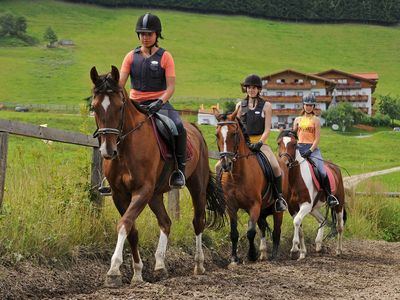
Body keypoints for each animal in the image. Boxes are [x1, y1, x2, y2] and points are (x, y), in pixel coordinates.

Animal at [91, 66, 227, 286]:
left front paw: (113, 271)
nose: (108, 150)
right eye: (94, 108)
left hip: (196, 186)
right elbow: (132, 230)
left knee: (198, 221)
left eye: (119, 107)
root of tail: (195, 128)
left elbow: (124, 224)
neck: (127, 147)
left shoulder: (142, 190)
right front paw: (137, 274)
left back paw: (198, 265)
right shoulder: (120, 194)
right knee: (165, 222)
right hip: (155, 195)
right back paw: (160, 266)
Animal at [214, 110, 282, 264]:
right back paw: (263, 254)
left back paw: (275, 255)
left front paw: (251, 255)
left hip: (276, 210)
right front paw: (234, 257)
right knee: (262, 227)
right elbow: (234, 233)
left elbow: (251, 231)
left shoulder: (254, 205)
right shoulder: (231, 206)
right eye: (217, 135)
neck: (237, 175)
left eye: (234, 134)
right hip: (263, 210)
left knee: (276, 230)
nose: (226, 164)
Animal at [276, 130, 346, 258]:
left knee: (339, 226)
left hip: (338, 204)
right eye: (279, 143)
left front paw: (294, 249)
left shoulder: (305, 205)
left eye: (294, 144)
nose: (285, 163)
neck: (296, 179)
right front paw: (302, 253)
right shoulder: (293, 208)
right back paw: (318, 245)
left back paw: (339, 250)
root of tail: (335, 167)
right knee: (322, 220)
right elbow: (299, 226)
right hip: (313, 209)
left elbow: (296, 222)